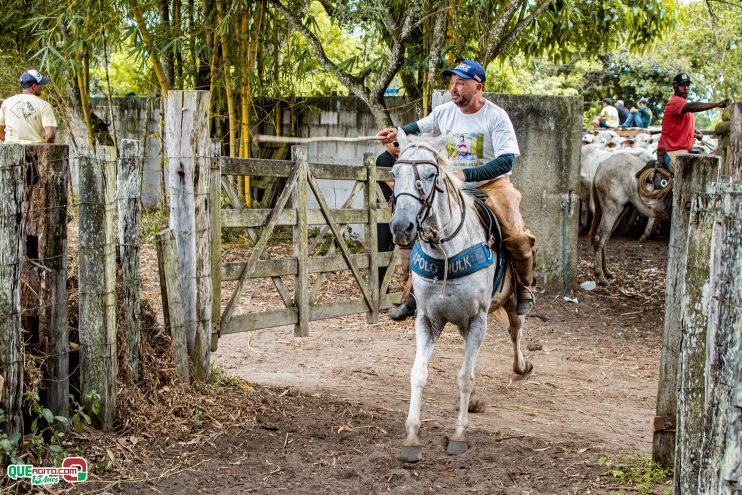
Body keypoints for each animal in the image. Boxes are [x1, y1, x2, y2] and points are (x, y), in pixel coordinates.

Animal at [390, 132, 536, 464]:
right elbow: (418, 374)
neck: (445, 252)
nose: (401, 227)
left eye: (431, 175)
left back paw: (521, 366)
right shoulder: (428, 320)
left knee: (516, 329)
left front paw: (458, 435)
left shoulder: (478, 319)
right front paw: (412, 437)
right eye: (394, 172)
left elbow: (465, 376)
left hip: (510, 299)